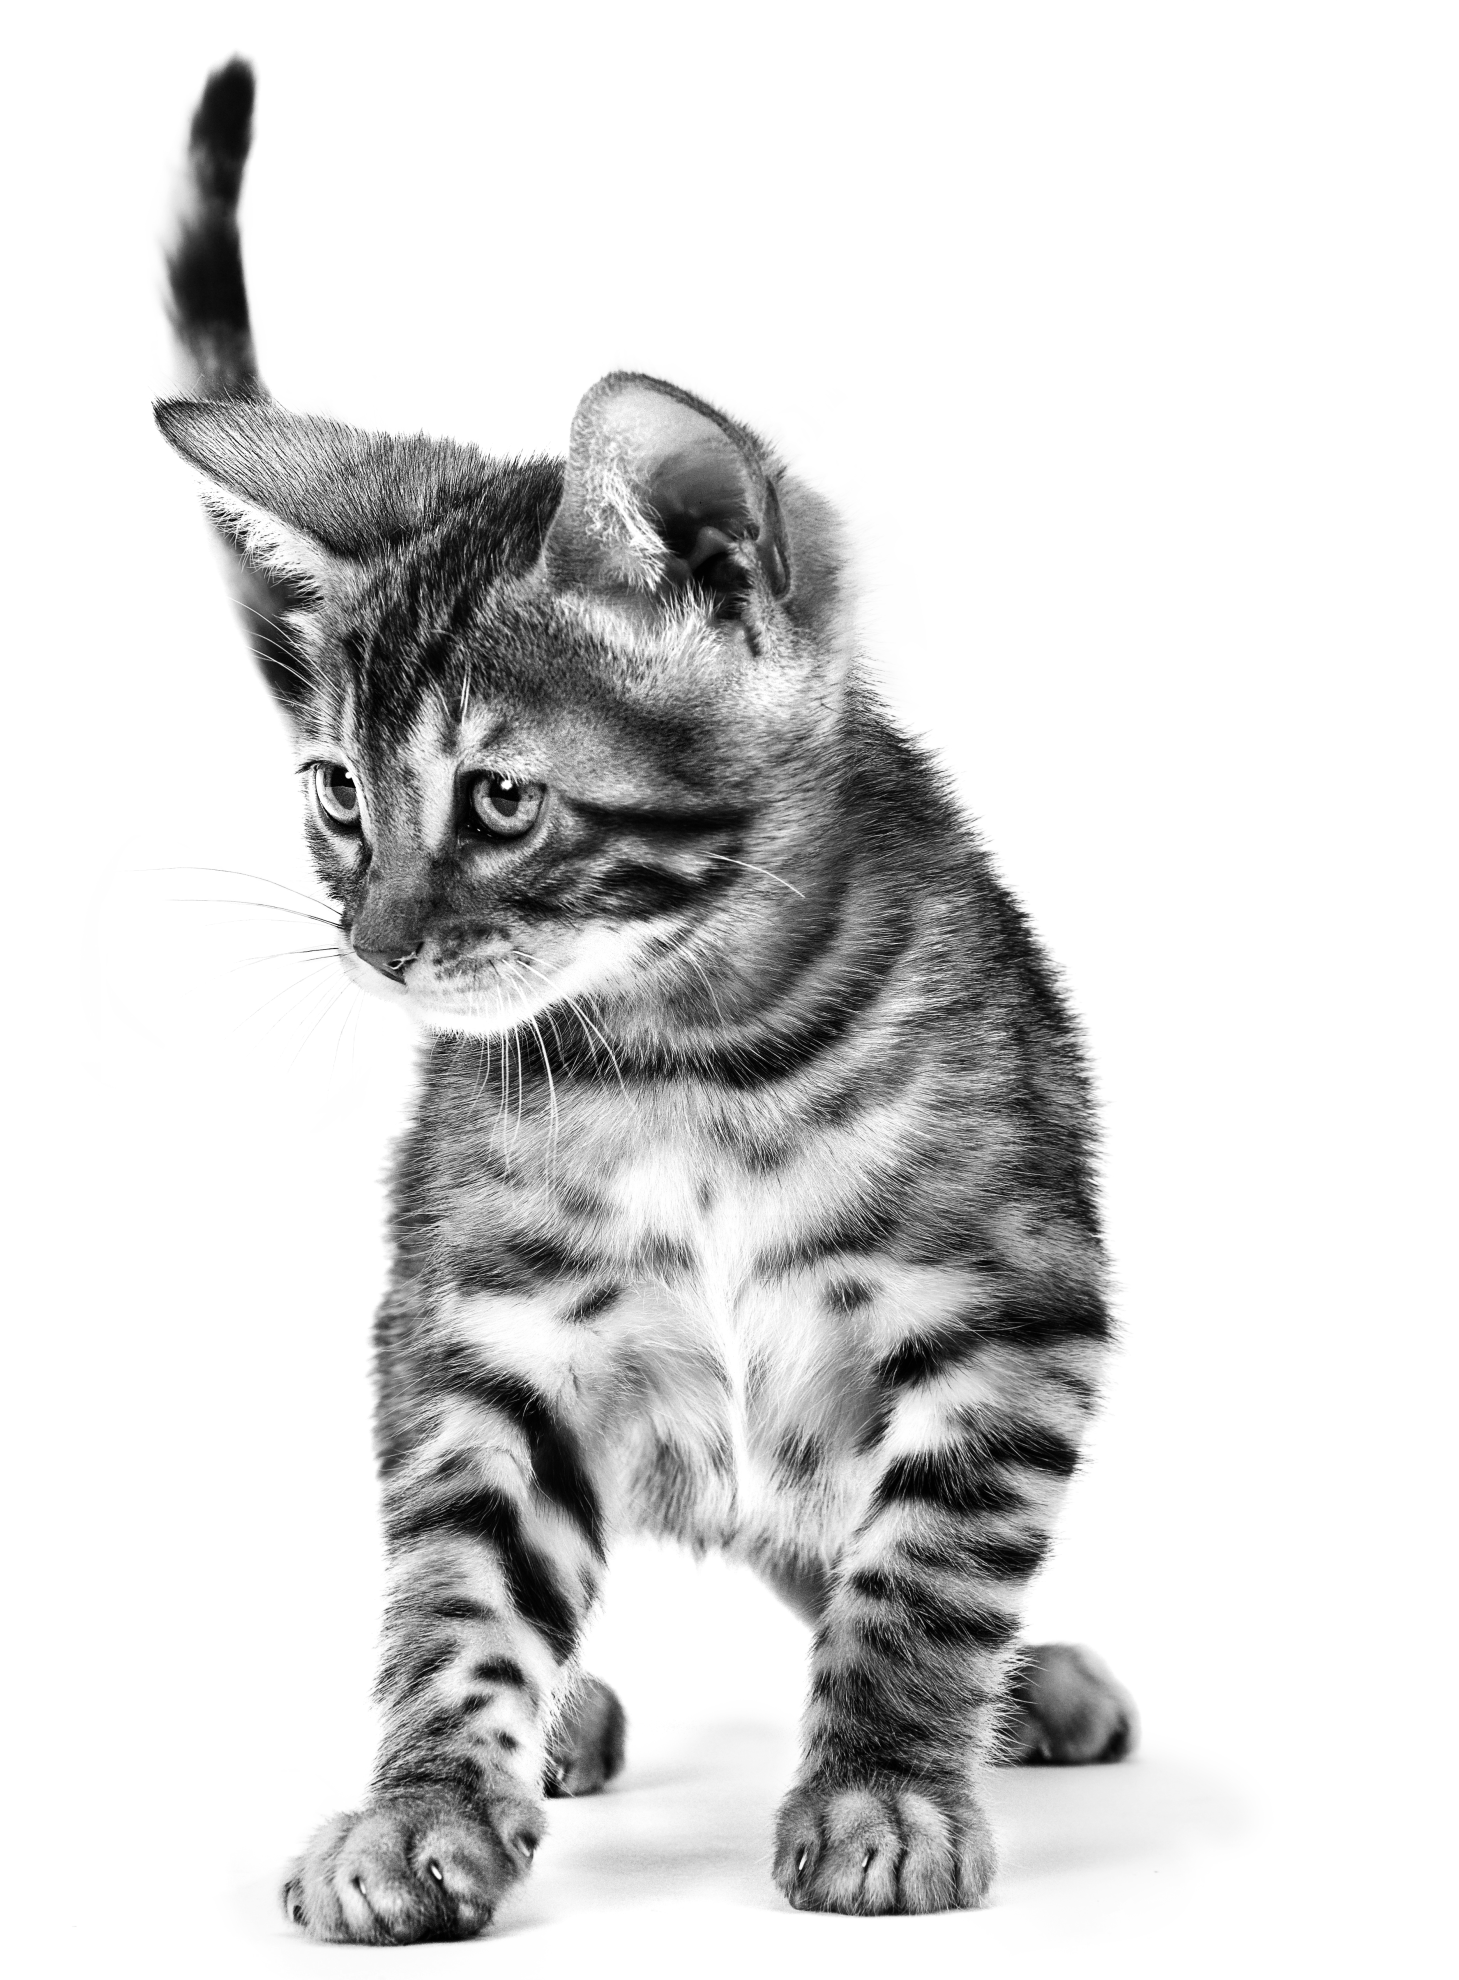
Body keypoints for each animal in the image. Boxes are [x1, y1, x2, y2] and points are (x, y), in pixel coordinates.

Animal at [162, 57, 1140, 1932]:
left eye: (498, 800)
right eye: (337, 796)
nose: (375, 944)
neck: (690, 1061)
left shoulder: (1000, 1312)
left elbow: (922, 1568)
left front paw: (885, 1784)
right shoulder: (483, 1335)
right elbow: (455, 1589)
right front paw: (420, 1801)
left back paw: (1017, 1688)